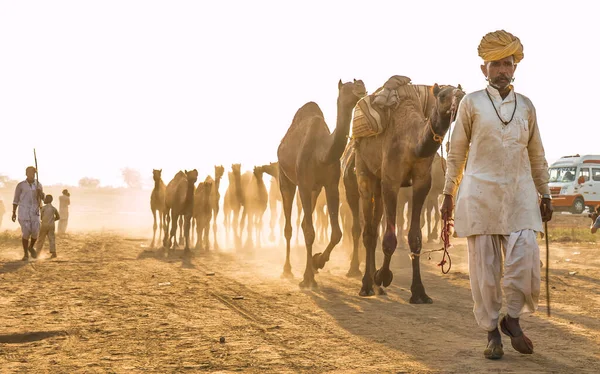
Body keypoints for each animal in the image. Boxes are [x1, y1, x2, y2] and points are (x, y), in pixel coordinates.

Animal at [276, 79, 366, 290]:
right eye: (347, 87)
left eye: (358, 82)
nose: (361, 86)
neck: (321, 154)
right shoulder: (303, 184)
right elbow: (310, 231)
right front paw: (307, 278)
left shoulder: (331, 184)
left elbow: (336, 233)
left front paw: (318, 262)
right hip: (285, 179)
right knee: (289, 226)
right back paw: (287, 270)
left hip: (315, 190)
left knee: (303, 222)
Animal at [352, 82, 464, 300]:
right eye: (443, 95)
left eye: (463, 94)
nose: (459, 96)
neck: (412, 145)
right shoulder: (391, 180)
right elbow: (389, 238)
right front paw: (383, 276)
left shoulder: (422, 183)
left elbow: (416, 237)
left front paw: (419, 292)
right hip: (364, 170)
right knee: (368, 230)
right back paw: (367, 285)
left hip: (378, 183)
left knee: (375, 225)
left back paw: (376, 286)